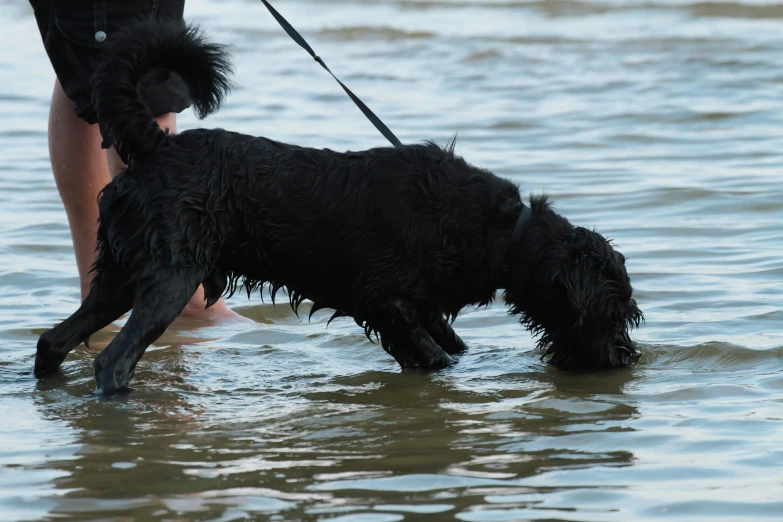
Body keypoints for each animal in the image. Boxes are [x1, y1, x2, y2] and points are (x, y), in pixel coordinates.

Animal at [32, 21, 644, 394]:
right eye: (612, 311)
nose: (626, 358)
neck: (501, 234)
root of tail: (155, 146)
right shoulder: (385, 302)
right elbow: (437, 355)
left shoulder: (415, 311)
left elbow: (444, 347)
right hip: (169, 280)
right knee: (112, 359)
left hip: (120, 278)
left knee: (54, 340)